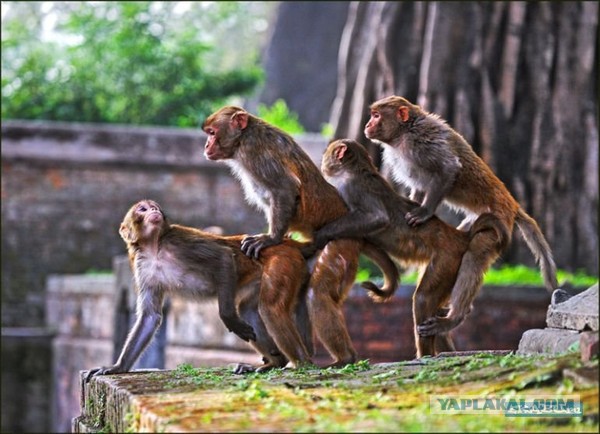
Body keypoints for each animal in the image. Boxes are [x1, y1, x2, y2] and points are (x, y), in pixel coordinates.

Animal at [85, 200, 314, 380]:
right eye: (142, 209)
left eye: (154, 206)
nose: (154, 210)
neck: (154, 246)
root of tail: (286, 243)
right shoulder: (143, 268)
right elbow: (150, 316)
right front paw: (117, 367)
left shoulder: (180, 241)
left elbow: (223, 257)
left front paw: (229, 318)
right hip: (260, 277)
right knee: (249, 309)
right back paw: (275, 363)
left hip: (283, 262)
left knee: (270, 308)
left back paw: (301, 363)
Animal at [204, 106, 400, 366]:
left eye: (213, 132)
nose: (206, 145)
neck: (243, 137)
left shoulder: (255, 153)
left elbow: (284, 188)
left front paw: (270, 239)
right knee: (298, 297)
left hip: (342, 245)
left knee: (317, 293)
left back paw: (344, 358)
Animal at [310, 141, 506, 358]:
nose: (322, 163)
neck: (356, 170)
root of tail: (458, 235)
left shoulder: (352, 187)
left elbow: (377, 218)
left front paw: (322, 234)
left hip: (447, 258)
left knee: (422, 299)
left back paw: (427, 353)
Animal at [364, 97, 560, 336]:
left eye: (376, 116)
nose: (367, 125)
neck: (404, 133)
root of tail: (513, 205)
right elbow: (418, 187)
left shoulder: (423, 143)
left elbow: (448, 169)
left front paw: (425, 212)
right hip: (476, 221)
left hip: (498, 224)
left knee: (475, 252)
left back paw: (455, 317)